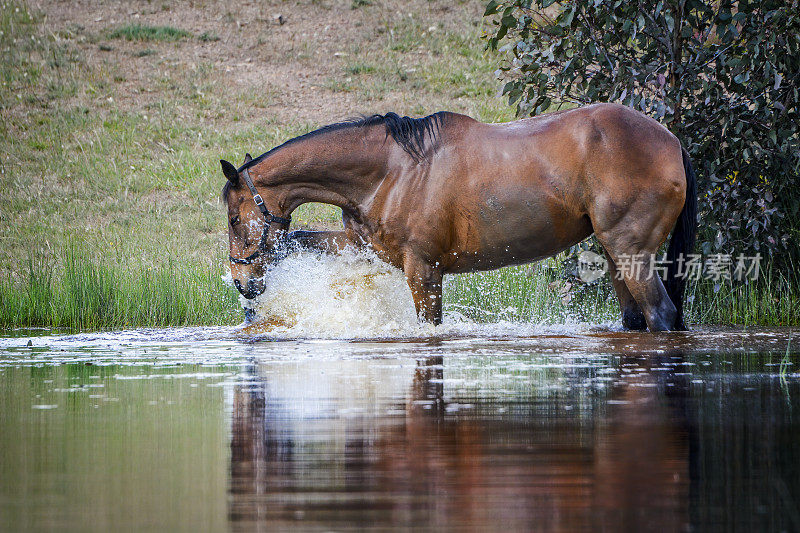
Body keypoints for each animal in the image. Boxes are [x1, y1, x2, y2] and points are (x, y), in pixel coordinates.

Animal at [219, 102, 692, 330]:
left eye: (234, 220)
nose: (243, 284)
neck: (392, 171)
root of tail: (670, 141)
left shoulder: (423, 271)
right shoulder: (361, 247)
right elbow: (297, 241)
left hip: (632, 252)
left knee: (661, 315)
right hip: (616, 256)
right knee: (636, 319)